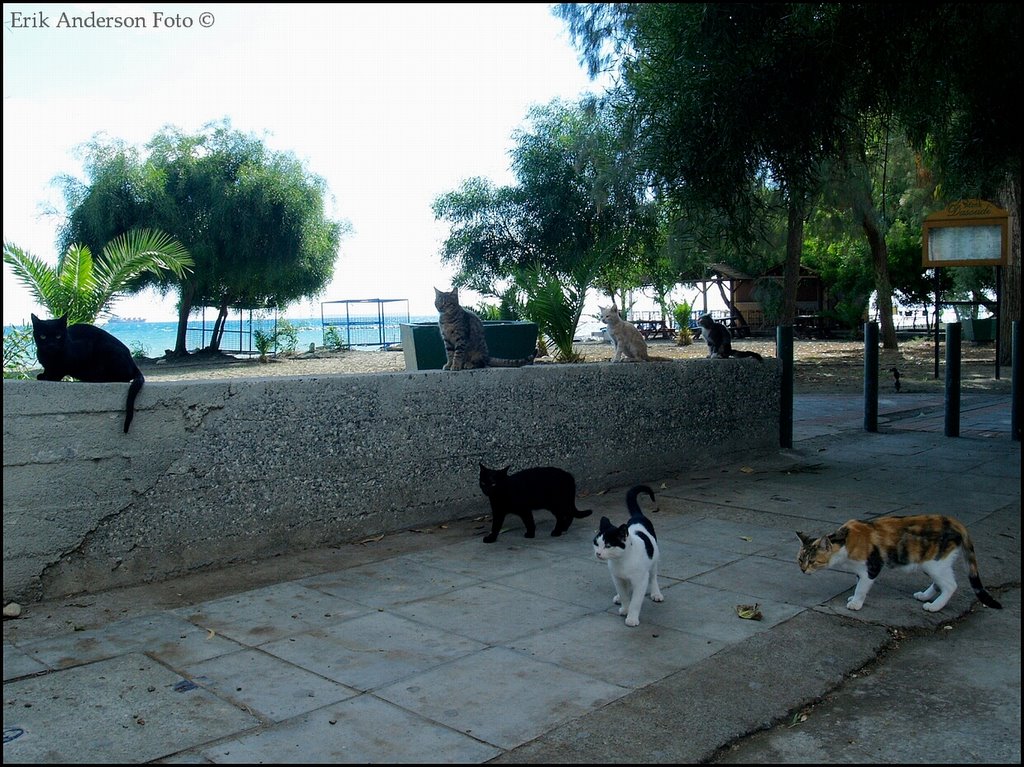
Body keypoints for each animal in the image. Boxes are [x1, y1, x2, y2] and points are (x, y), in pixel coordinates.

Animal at [593, 487, 663, 626]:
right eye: (597, 544)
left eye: (608, 546)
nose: (598, 553)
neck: (621, 560)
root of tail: (637, 517)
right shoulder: (617, 578)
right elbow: (624, 595)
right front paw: (625, 608)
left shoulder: (641, 581)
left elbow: (635, 601)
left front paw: (632, 618)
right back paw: (619, 597)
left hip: (653, 562)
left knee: (653, 577)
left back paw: (656, 593)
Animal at [794, 512, 1003, 614]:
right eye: (800, 560)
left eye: (812, 561)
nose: (803, 570)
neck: (844, 541)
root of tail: (955, 522)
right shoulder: (860, 569)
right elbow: (858, 582)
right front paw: (853, 598)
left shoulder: (872, 566)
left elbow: (862, 586)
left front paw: (856, 603)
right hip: (933, 562)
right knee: (941, 583)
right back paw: (925, 596)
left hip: (934, 563)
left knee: (951, 585)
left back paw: (934, 607)